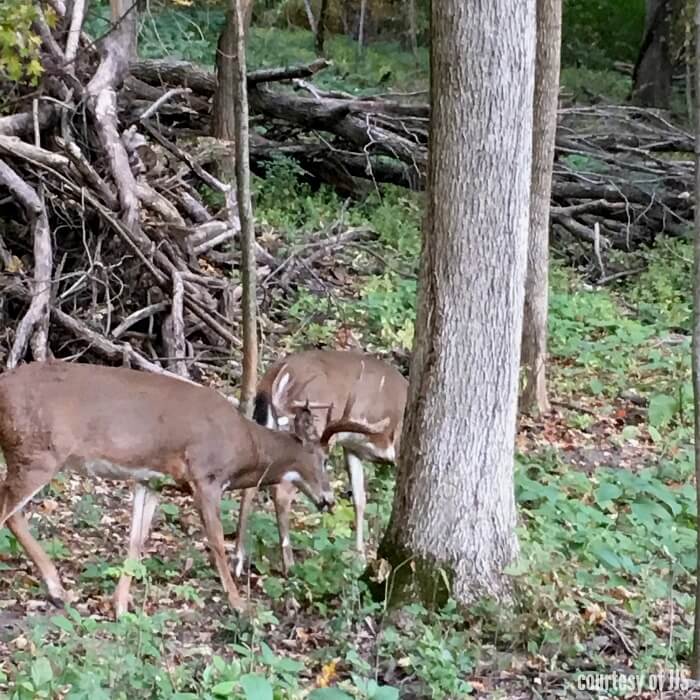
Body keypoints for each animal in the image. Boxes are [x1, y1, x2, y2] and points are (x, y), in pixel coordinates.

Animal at [0, 358, 336, 616]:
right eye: (323, 459)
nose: (329, 499)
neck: (245, 449)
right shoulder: (205, 476)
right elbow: (217, 542)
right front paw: (239, 604)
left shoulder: (150, 480)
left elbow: (136, 540)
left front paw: (120, 607)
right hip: (37, 454)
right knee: (8, 512)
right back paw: (56, 590)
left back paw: (59, 591)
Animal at [232, 348, 408, 576]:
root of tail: (279, 371)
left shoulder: (352, 449)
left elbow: (359, 500)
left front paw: (359, 560)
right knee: (282, 492)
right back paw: (289, 565)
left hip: (266, 422)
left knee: (252, 483)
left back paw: (238, 559)